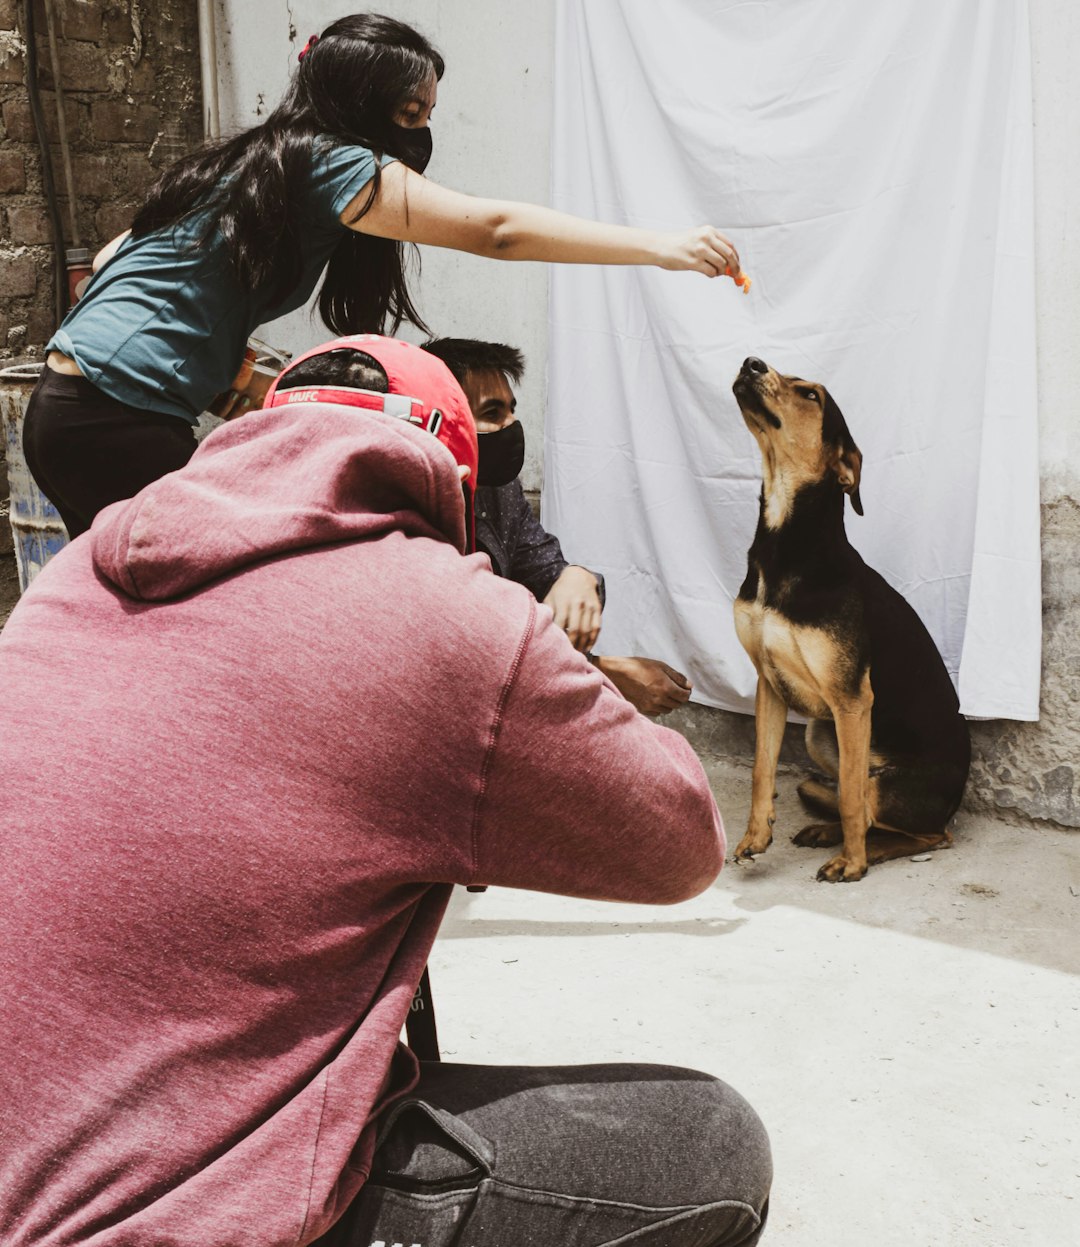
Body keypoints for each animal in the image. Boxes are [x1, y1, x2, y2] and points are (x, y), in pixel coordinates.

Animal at [723, 356, 967, 882]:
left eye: (812, 395)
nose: (751, 363)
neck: (786, 543)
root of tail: (955, 802)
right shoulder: (769, 684)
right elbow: (762, 770)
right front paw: (756, 837)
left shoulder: (853, 700)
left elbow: (854, 798)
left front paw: (853, 865)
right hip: (820, 732)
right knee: (850, 799)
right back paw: (824, 831)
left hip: (880, 771)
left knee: (917, 828)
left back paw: (865, 850)